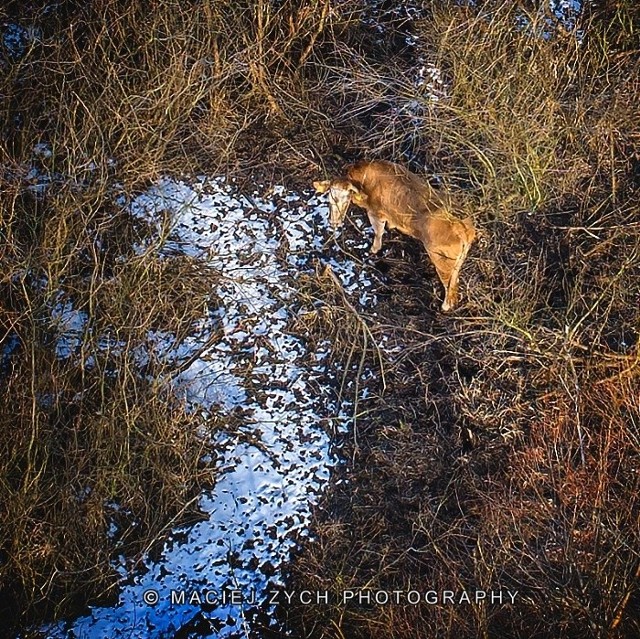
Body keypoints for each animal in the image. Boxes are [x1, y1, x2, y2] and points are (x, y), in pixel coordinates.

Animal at [316, 159, 476, 312]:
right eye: (330, 198)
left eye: (346, 198)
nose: (334, 222)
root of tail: (462, 227)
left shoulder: (376, 213)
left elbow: (378, 232)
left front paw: (374, 249)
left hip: (442, 261)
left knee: (450, 287)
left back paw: (445, 306)